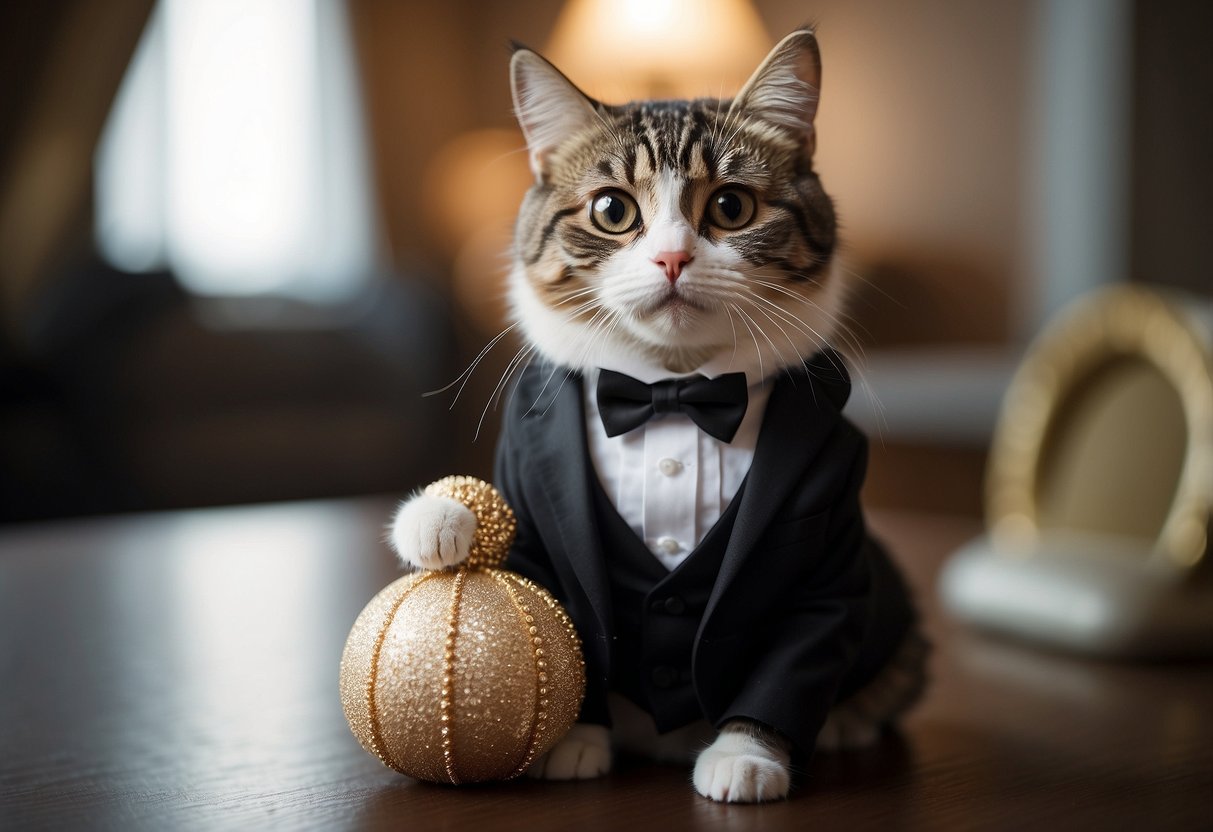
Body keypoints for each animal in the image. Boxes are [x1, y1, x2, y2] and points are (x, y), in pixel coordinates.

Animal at [393, 29, 921, 805]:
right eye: (612, 211)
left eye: (731, 206)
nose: (672, 258)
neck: (671, 394)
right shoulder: (535, 505)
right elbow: (546, 596)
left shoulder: (829, 548)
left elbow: (797, 650)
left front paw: (746, 755)